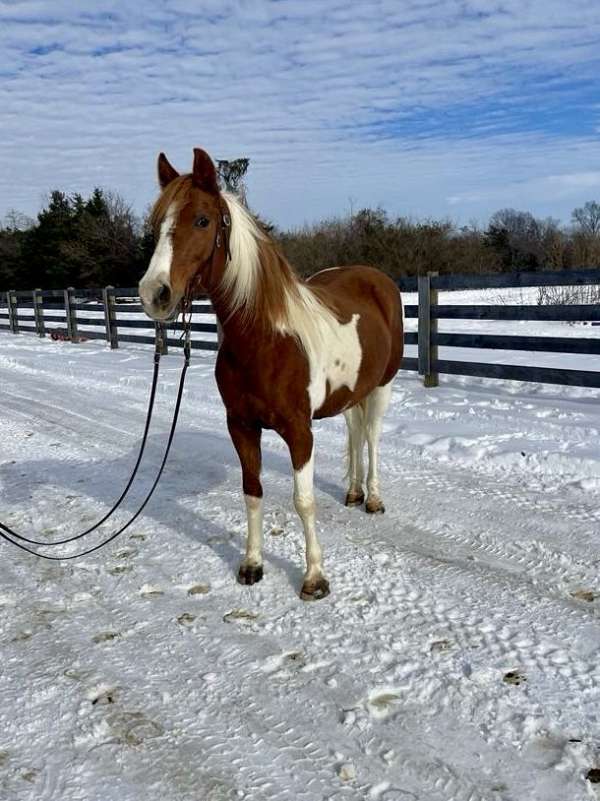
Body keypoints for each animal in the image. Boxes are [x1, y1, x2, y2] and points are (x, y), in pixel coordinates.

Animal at [139, 148, 404, 600]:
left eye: (202, 220)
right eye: (157, 225)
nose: (154, 294)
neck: (264, 340)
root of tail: (376, 279)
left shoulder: (299, 431)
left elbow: (303, 501)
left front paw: (314, 578)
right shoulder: (242, 426)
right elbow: (252, 492)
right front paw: (251, 564)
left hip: (382, 387)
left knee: (370, 438)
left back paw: (372, 498)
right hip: (352, 390)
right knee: (354, 431)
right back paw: (353, 492)